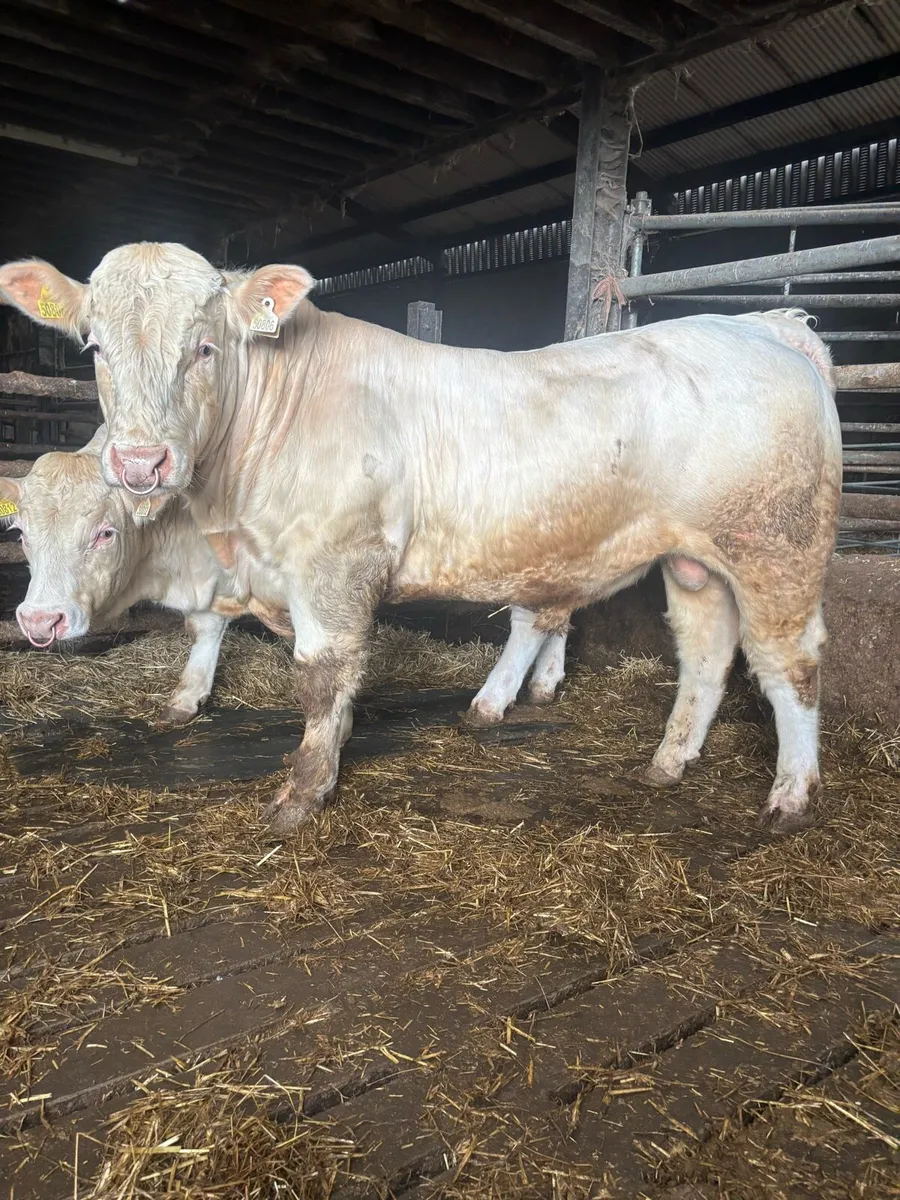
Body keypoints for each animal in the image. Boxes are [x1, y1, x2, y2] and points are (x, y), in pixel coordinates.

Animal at [0, 435, 568, 727]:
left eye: (104, 532)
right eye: (21, 532)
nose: (39, 620)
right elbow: (203, 629)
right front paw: (188, 695)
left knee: (530, 621)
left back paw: (493, 699)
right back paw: (544, 683)